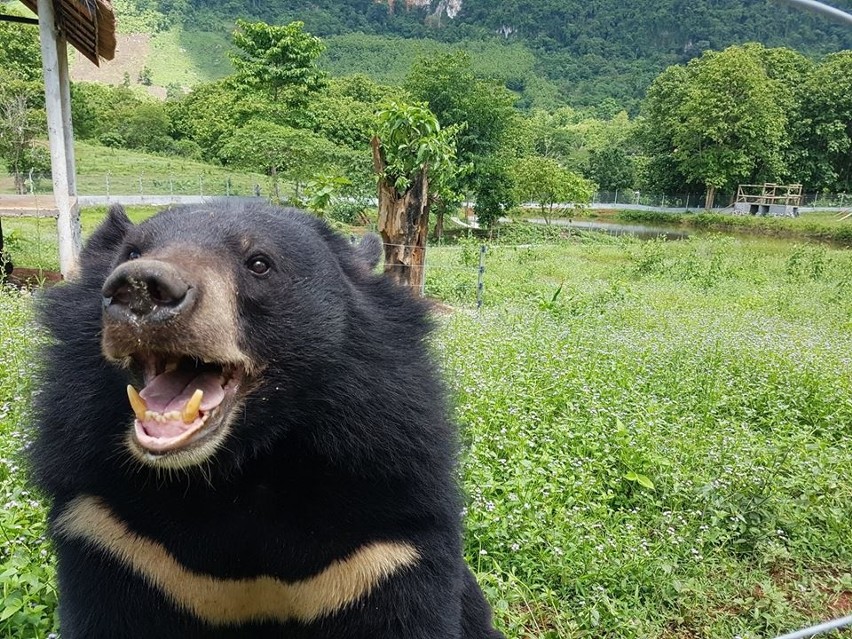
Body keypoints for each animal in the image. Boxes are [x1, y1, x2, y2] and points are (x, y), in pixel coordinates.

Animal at [30, 205, 502, 639]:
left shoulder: (381, 553)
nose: (140, 288)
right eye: (131, 252)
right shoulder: (116, 539)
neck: (245, 468)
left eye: (259, 263)